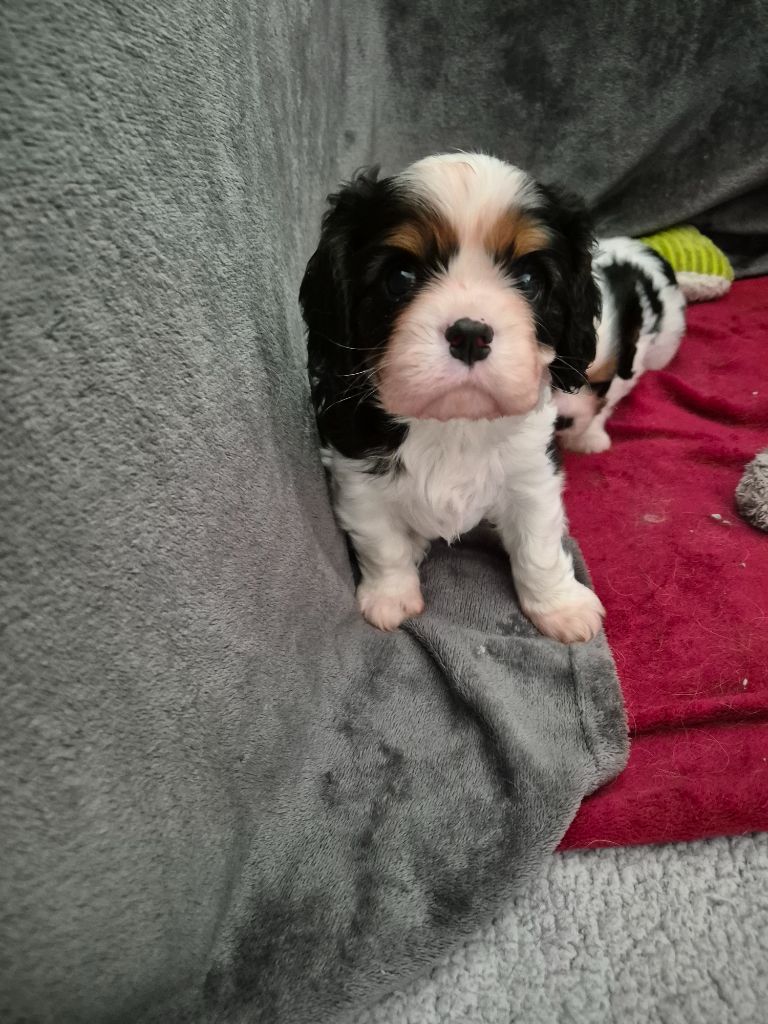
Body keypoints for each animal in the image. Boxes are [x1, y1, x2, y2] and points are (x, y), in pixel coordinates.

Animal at [299, 152, 604, 643]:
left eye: (529, 279)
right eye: (400, 277)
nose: (470, 334)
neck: (455, 424)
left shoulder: (533, 473)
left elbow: (538, 546)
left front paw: (560, 606)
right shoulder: (355, 475)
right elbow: (383, 544)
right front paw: (391, 598)